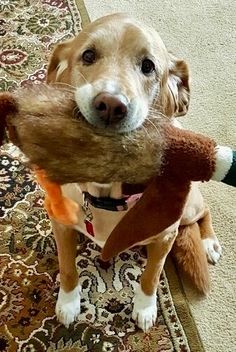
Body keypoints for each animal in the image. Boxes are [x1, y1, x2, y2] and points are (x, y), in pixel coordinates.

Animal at [45, 13, 221, 332]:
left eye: (148, 66)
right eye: (88, 55)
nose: (110, 105)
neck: (106, 193)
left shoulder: (164, 238)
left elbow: (151, 277)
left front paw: (145, 308)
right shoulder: (60, 223)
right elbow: (67, 269)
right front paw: (68, 303)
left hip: (189, 206)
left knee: (204, 211)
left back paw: (208, 242)